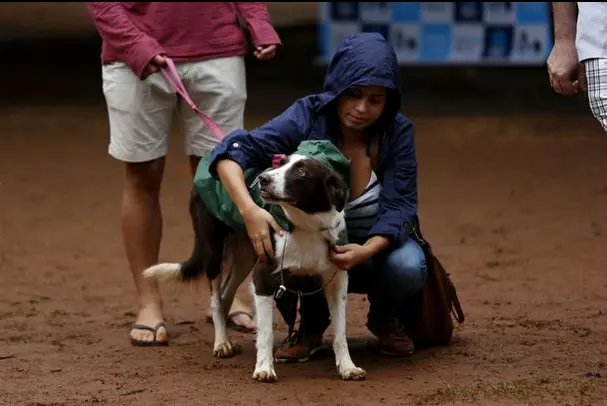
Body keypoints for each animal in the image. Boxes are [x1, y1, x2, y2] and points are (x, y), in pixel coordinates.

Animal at [144, 154, 366, 382]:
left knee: (225, 295)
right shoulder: (263, 279)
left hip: (246, 253)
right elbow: (266, 333)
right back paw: (221, 342)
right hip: (213, 250)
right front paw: (264, 368)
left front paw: (347, 367)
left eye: (301, 171)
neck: (306, 226)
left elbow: (340, 332)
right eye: (280, 163)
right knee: (215, 300)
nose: (263, 179)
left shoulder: (337, 282)